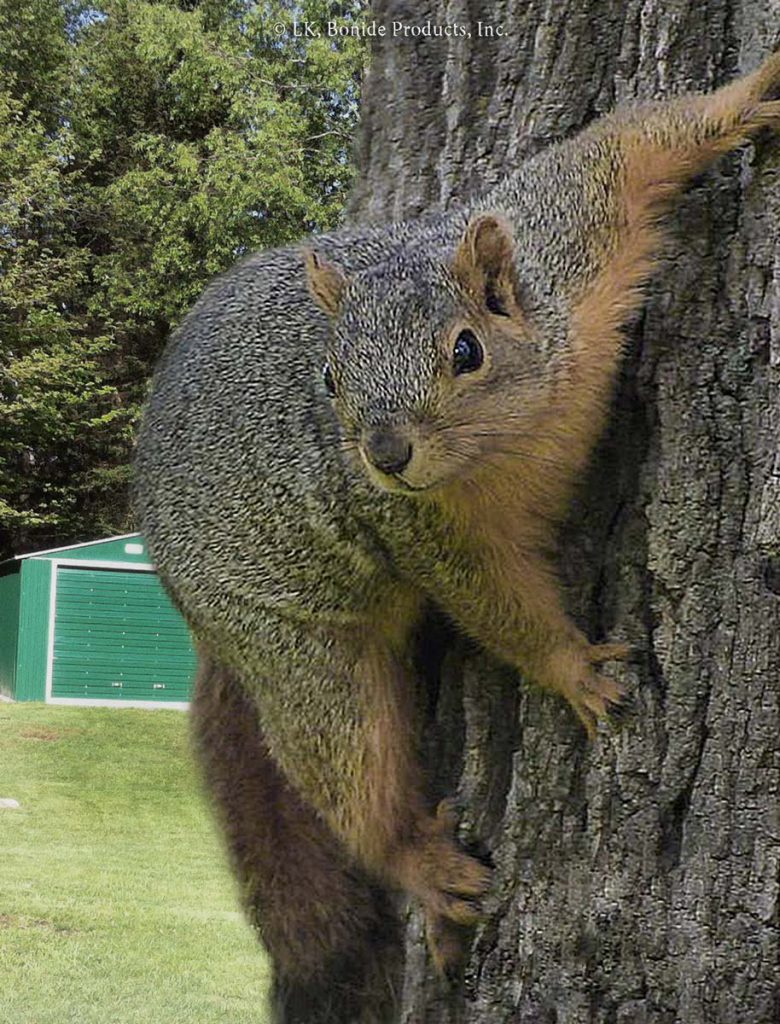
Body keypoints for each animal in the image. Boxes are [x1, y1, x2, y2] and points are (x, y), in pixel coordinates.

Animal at [134, 53, 780, 1024]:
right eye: (330, 378)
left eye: (467, 350)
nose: (386, 454)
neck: (515, 434)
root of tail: (190, 612)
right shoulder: (426, 531)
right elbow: (494, 604)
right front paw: (574, 668)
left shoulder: (566, 239)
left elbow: (627, 146)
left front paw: (750, 95)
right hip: (296, 651)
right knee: (350, 777)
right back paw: (427, 872)